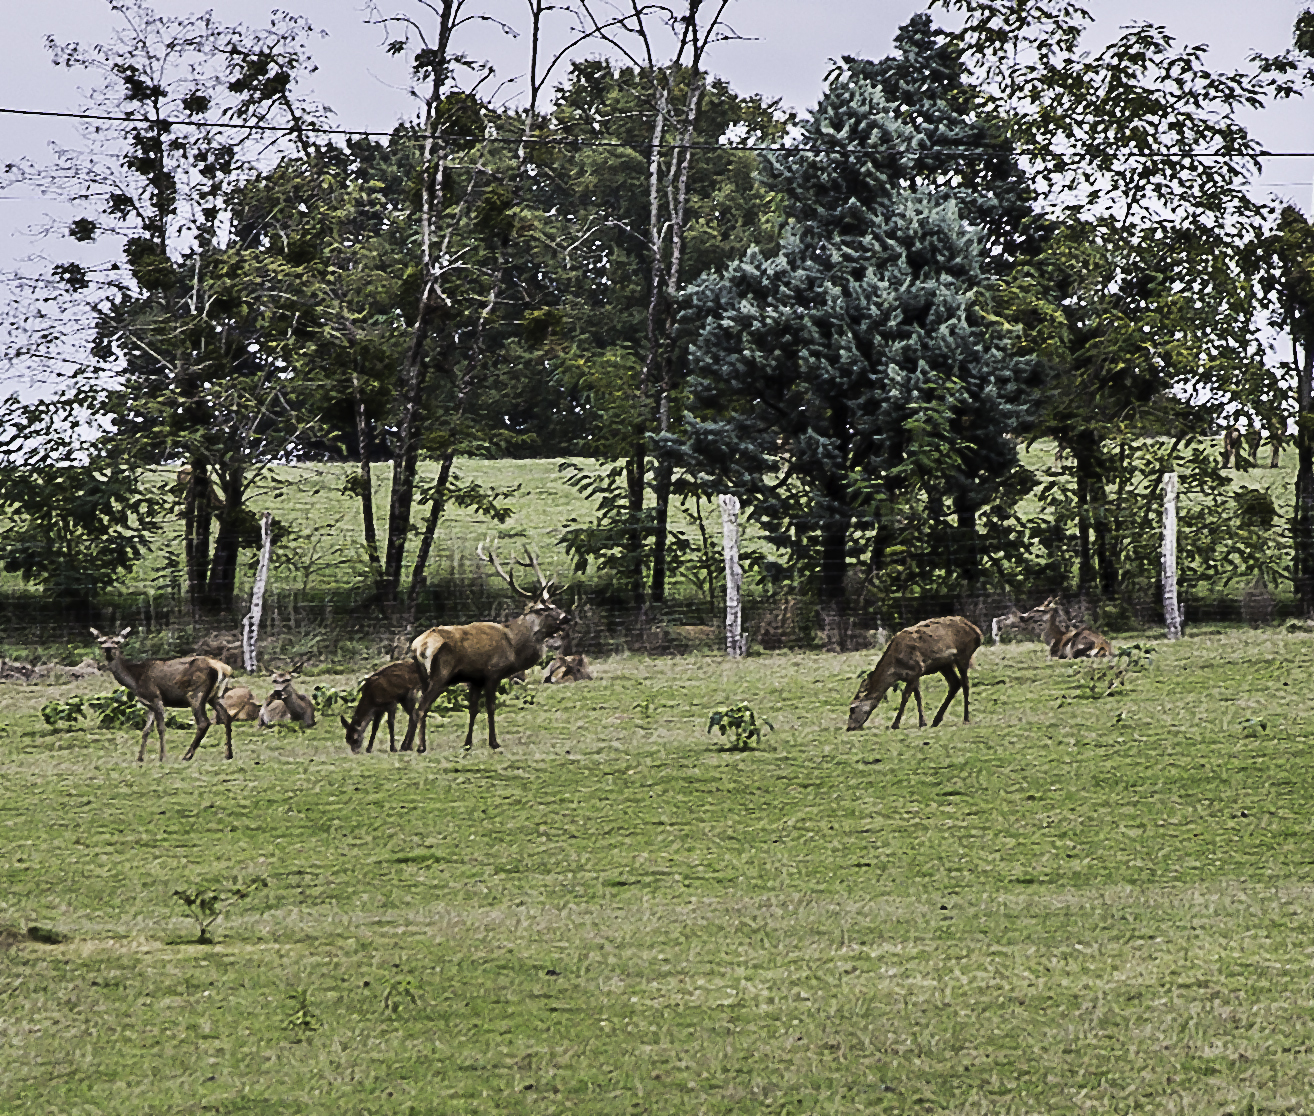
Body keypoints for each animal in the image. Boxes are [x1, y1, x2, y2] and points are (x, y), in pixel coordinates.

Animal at [89, 627, 234, 761]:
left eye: (117, 642)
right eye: (101, 641)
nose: (108, 649)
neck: (135, 680)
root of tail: (224, 668)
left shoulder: (156, 697)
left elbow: (161, 727)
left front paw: (163, 756)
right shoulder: (149, 703)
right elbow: (146, 730)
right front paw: (140, 757)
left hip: (195, 692)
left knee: (204, 722)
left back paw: (187, 755)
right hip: (214, 696)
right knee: (226, 716)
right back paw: (228, 754)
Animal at [401, 541, 573, 753]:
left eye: (554, 604)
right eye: (543, 609)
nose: (567, 617)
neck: (513, 647)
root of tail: (419, 646)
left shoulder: (475, 678)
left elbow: (473, 709)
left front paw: (467, 743)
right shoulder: (493, 672)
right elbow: (490, 707)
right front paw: (494, 742)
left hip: (423, 675)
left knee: (415, 708)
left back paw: (405, 745)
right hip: (440, 674)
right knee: (421, 707)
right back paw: (420, 746)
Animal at [846, 616, 982, 731]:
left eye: (852, 708)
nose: (849, 727)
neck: (895, 669)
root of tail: (977, 632)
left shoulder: (917, 669)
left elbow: (905, 697)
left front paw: (895, 724)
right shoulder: (913, 675)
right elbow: (918, 696)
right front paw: (923, 722)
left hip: (963, 655)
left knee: (965, 683)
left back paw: (966, 719)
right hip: (945, 665)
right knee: (955, 683)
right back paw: (936, 720)